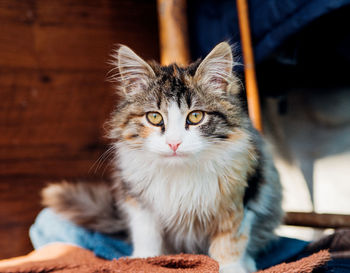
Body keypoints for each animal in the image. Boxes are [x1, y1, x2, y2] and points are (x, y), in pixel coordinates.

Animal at [42, 41, 284, 270]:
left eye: (195, 116)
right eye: (155, 117)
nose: (173, 143)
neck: (178, 173)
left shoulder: (240, 200)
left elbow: (230, 242)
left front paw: (231, 267)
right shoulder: (140, 203)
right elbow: (146, 236)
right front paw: (142, 260)